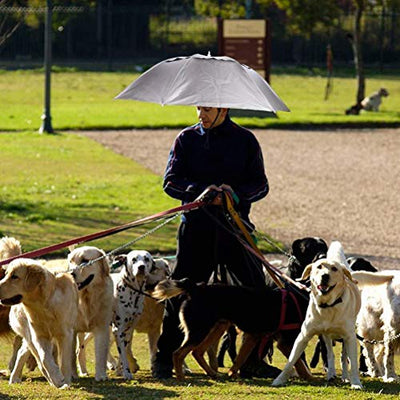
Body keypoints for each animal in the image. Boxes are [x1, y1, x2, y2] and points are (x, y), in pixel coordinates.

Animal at [0, 260, 78, 388]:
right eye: (6, 274)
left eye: (15, 277)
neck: (43, 305)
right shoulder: (39, 336)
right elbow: (45, 358)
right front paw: (57, 379)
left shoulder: (66, 335)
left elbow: (64, 362)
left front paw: (65, 382)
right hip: (29, 334)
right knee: (30, 356)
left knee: (23, 352)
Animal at [68, 245, 113, 380]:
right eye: (71, 261)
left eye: (85, 261)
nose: (70, 273)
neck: (86, 298)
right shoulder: (71, 329)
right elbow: (70, 356)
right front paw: (72, 375)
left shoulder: (102, 327)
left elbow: (101, 353)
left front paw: (101, 375)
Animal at [111, 248, 154, 380]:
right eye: (133, 259)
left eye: (146, 259)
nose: (141, 267)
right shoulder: (118, 330)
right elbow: (123, 355)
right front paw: (126, 372)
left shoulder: (127, 331)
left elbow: (123, 353)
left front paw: (120, 370)